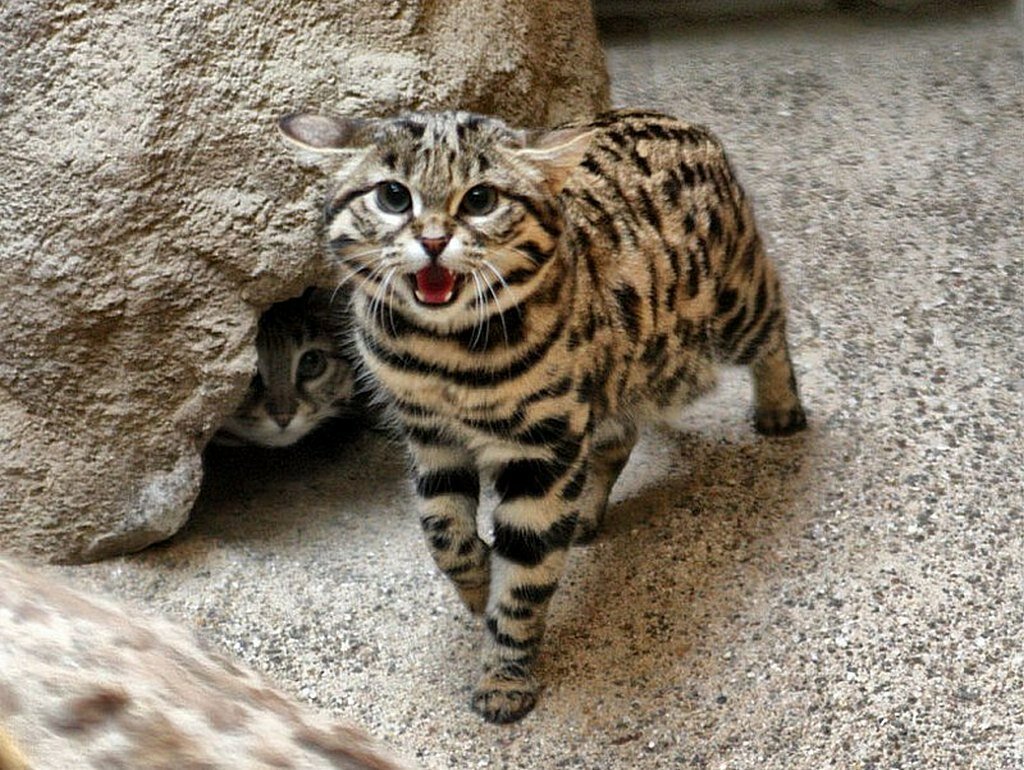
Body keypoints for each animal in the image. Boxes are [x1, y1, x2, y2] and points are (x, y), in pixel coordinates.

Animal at [280, 107, 806, 720]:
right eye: (393, 195)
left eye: (479, 199)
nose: (433, 240)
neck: (444, 353)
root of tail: (687, 124)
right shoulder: (429, 436)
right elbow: (443, 532)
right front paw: (478, 586)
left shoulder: (543, 447)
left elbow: (525, 577)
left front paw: (505, 676)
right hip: (616, 378)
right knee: (617, 438)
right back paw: (585, 514)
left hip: (732, 306)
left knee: (774, 317)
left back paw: (780, 408)